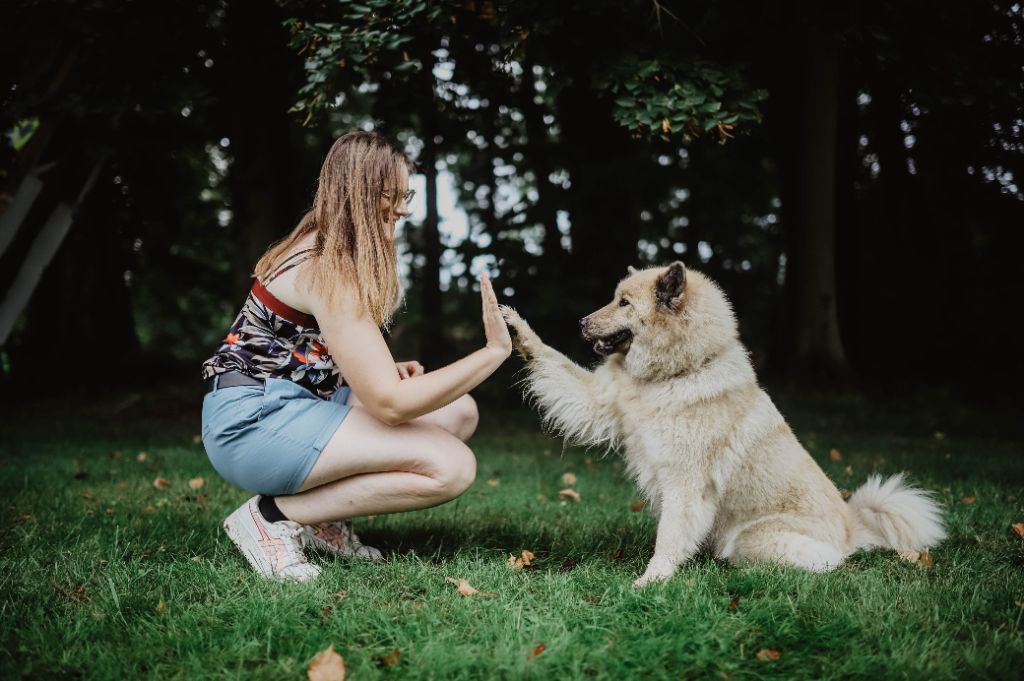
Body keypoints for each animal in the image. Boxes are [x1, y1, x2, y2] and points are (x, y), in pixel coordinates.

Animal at [499, 260, 946, 585]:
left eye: (624, 303)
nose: (580, 322)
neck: (678, 373)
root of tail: (853, 527)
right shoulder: (598, 402)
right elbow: (552, 361)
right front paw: (516, 328)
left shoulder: (685, 484)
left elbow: (669, 536)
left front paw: (651, 582)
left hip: (753, 538)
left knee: (823, 563)